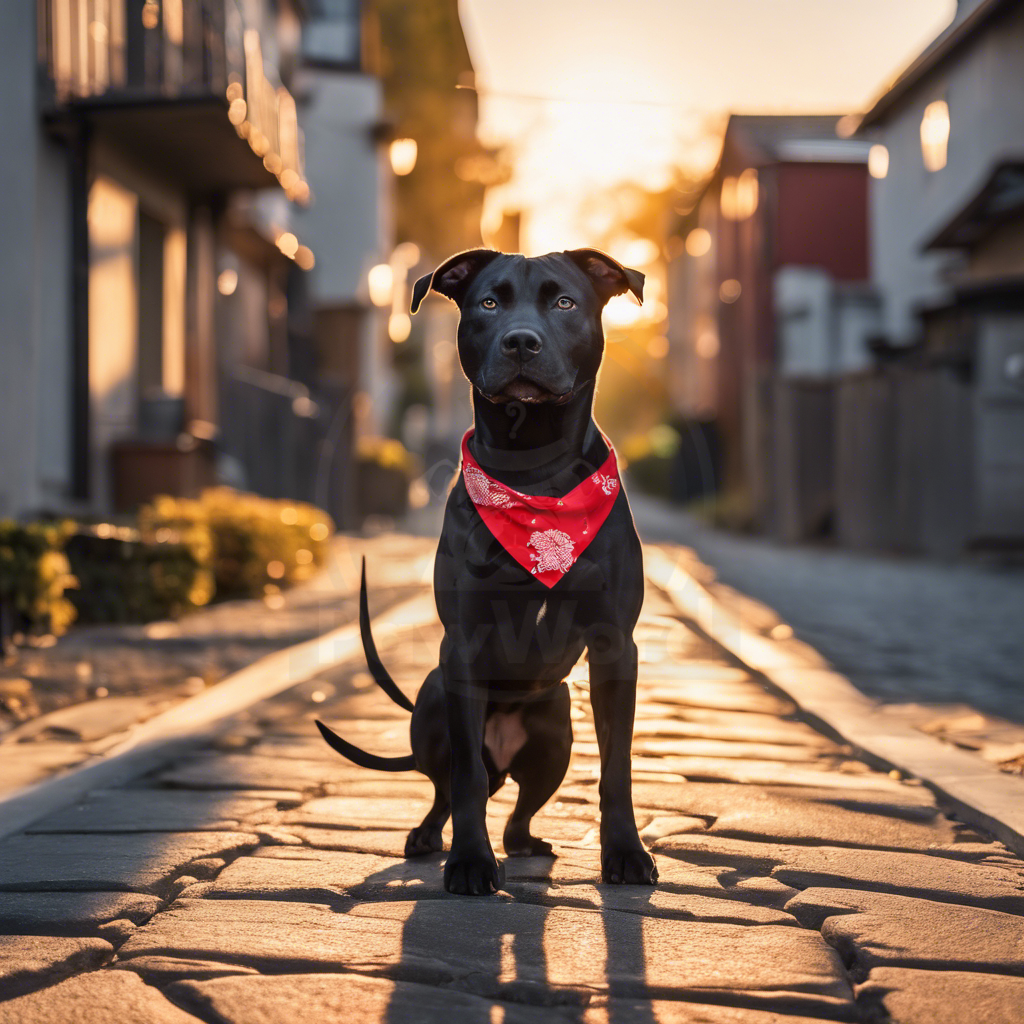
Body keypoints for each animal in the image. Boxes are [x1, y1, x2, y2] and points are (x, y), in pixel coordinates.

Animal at [315, 249, 659, 897]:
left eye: (564, 302)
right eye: (489, 303)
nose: (520, 340)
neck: (535, 477)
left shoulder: (614, 647)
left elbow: (618, 767)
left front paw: (626, 853)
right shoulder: (464, 646)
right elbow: (468, 780)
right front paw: (470, 863)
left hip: (556, 736)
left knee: (521, 810)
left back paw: (525, 844)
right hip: (432, 703)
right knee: (450, 787)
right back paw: (431, 838)